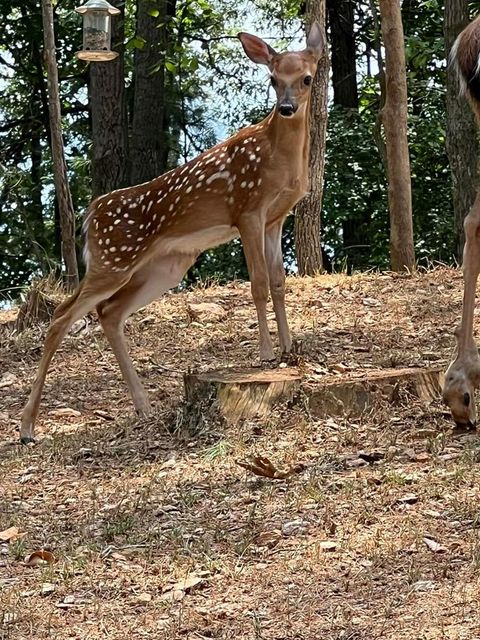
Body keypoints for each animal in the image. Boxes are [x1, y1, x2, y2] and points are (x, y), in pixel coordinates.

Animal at [19, 22, 326, 442]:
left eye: (307, 78)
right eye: (273, 79)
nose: (287, 108)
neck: (279, 159)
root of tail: (89, 215)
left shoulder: (276, 218)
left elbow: (279, 282)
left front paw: (289, 348)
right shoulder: (246, 210)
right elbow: (259, 283)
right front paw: (265, 353)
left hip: (164, 267)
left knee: (109, 312)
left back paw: (143, 406)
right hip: (113, 259)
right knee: (63, 315)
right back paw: (27, 426)